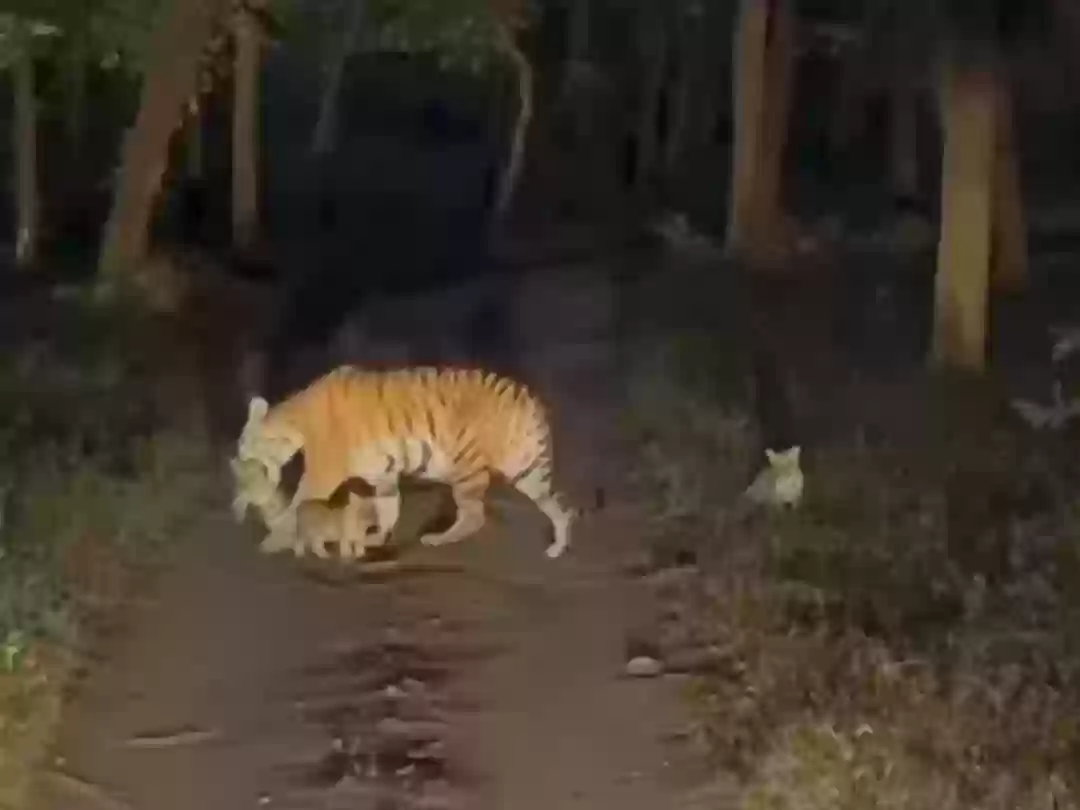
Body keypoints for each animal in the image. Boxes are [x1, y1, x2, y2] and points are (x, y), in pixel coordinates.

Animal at [230, 365, 579, 560]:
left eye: (244, 446)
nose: (236, 461)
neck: (293, 425)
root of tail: (526, 395)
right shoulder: (382, 474)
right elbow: (388, 509)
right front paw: (372, 539)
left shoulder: (321, 474)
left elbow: (297, 504)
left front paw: (275, 540)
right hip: (525, 467)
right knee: (556, 505)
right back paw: (558, 546)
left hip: (464, 465)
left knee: (474, 515)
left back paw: (437, 539)